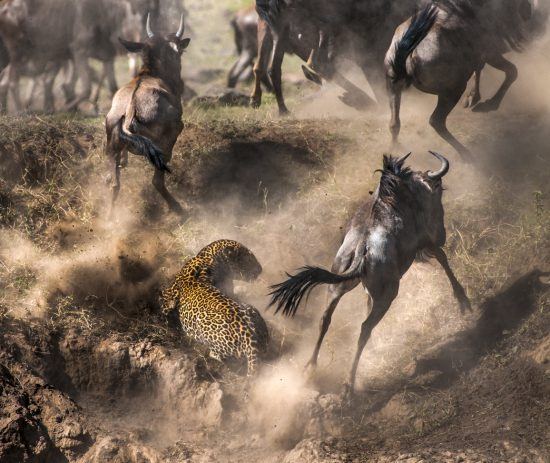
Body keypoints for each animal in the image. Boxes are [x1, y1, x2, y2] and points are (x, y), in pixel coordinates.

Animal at [161, 241, 270, 376]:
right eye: (249, 258)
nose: (260, 269)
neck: (206, 256)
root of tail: (248, 335)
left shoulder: (170, 294)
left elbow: (165, 306)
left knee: (218, 356)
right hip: (252, 309)